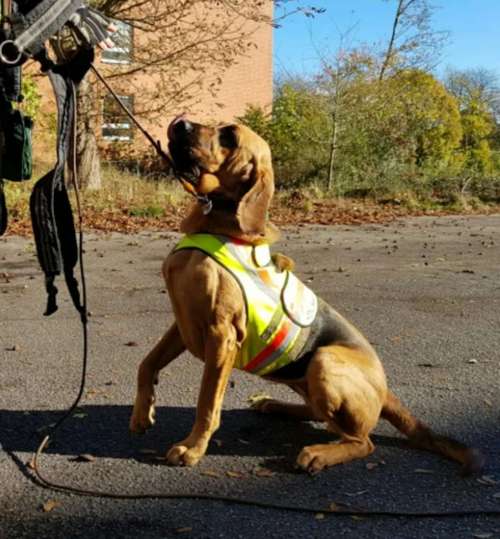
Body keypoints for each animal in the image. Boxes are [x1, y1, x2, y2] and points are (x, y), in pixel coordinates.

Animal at [130, 117, 484, 472]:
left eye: (230, 137)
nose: (180, 123)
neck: (215, 223)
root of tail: (385, 391)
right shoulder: (181, 322)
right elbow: (147, 364)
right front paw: (142, 413)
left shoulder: (222, 335)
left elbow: (207, 403)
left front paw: (193, 447)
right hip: (305, 379)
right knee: (319, 414)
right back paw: (274, 405)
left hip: (324, 361)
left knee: (361, 441)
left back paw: (317, 454)